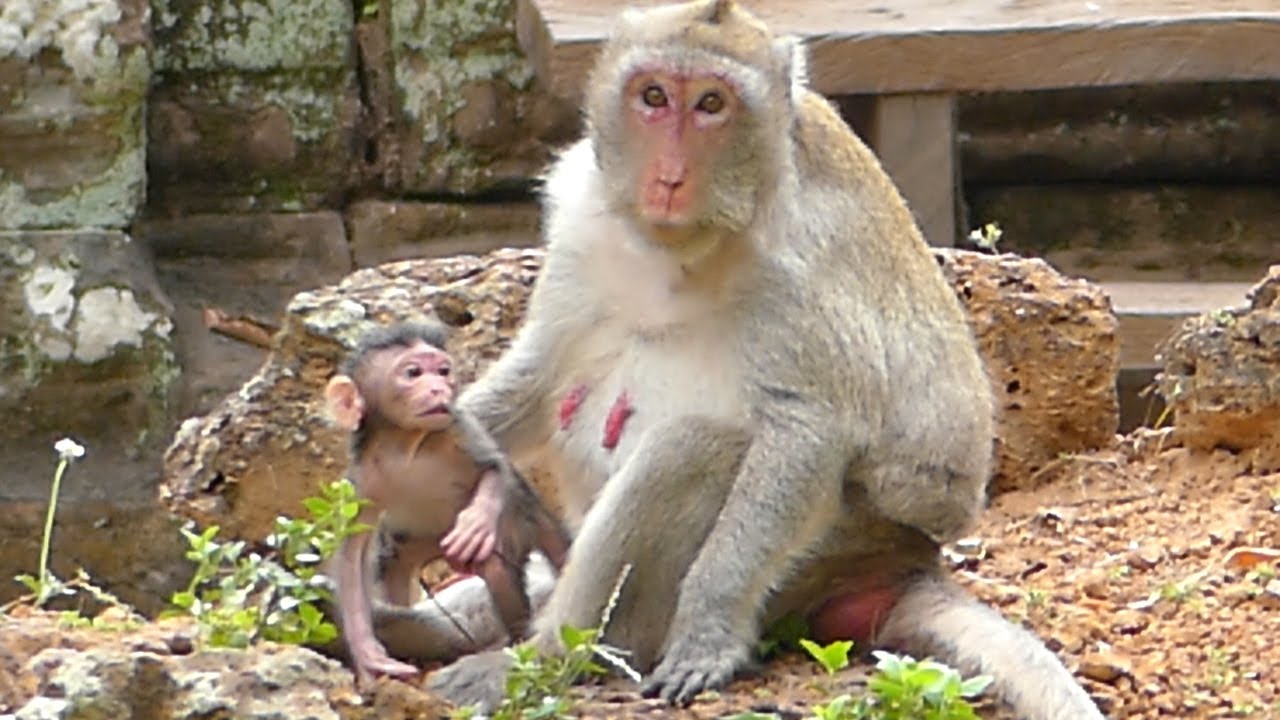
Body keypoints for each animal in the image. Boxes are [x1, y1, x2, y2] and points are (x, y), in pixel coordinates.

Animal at [322, 321, 570, 689]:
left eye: (443, 371)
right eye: (413, 372)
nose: (439, 389)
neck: (408, 444)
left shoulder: (458, 428)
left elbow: (494, 470)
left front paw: (474, 524)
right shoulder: (363, 478)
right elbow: (352, 558)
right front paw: (369, 656)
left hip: (520, 522)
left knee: (496, 563)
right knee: (393, 565)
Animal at [417, 2, 1106, 719]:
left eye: (712, 104)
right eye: (653, 96)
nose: (669, 176)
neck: (679, 245)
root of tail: (899, 565)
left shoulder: (796, 265)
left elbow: (806, 429)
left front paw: (707, 631)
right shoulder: (583, 220)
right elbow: (539, 375)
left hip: (820, 554)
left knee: (694, 450)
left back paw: (544, 656)